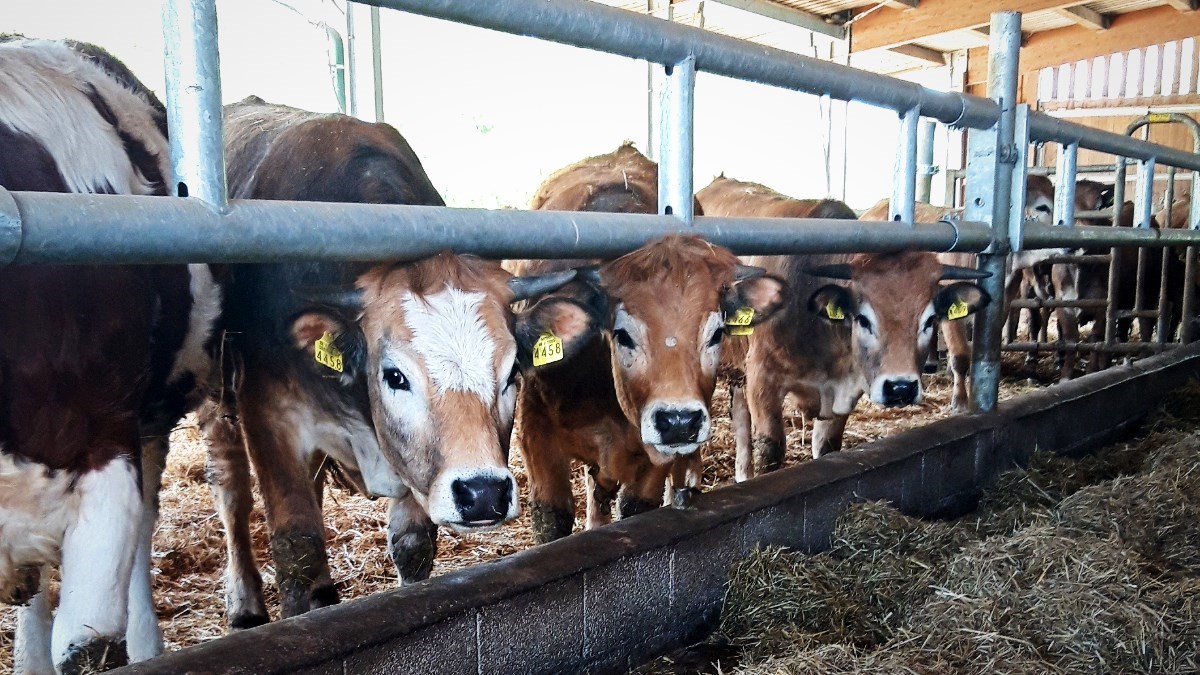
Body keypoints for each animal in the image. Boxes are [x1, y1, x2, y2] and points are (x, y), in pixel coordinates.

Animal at [199, 96, 588, 624]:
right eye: (395, 375)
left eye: (512, 374)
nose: (483, 493)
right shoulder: (270, 419)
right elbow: (297, 549)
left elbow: (412, 546)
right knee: (231, 489)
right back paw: (243, 601)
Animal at [508, 144, 782, 538]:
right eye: (623, 334)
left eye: (716, 333)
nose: (679, 421)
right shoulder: (536, 435)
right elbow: (553, 521)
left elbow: (637, 509)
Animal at [700, 174, 988, 478]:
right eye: (863, 318)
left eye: (930, 319)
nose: (901, 388)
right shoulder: (762, 379)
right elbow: (770, 451)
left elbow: (827, 446)